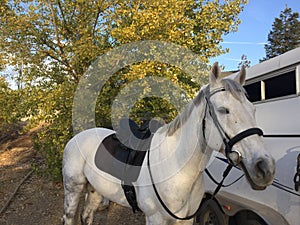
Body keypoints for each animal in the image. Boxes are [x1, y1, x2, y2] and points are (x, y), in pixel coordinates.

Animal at [62, 62, 276, 225]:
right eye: (224, 110)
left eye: (253, 109)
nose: (265, 167)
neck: (177, 167)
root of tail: (77, 138)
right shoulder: (155, 218)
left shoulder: (186, 220)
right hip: (73, 188)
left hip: (95, 190)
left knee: (87, 216)